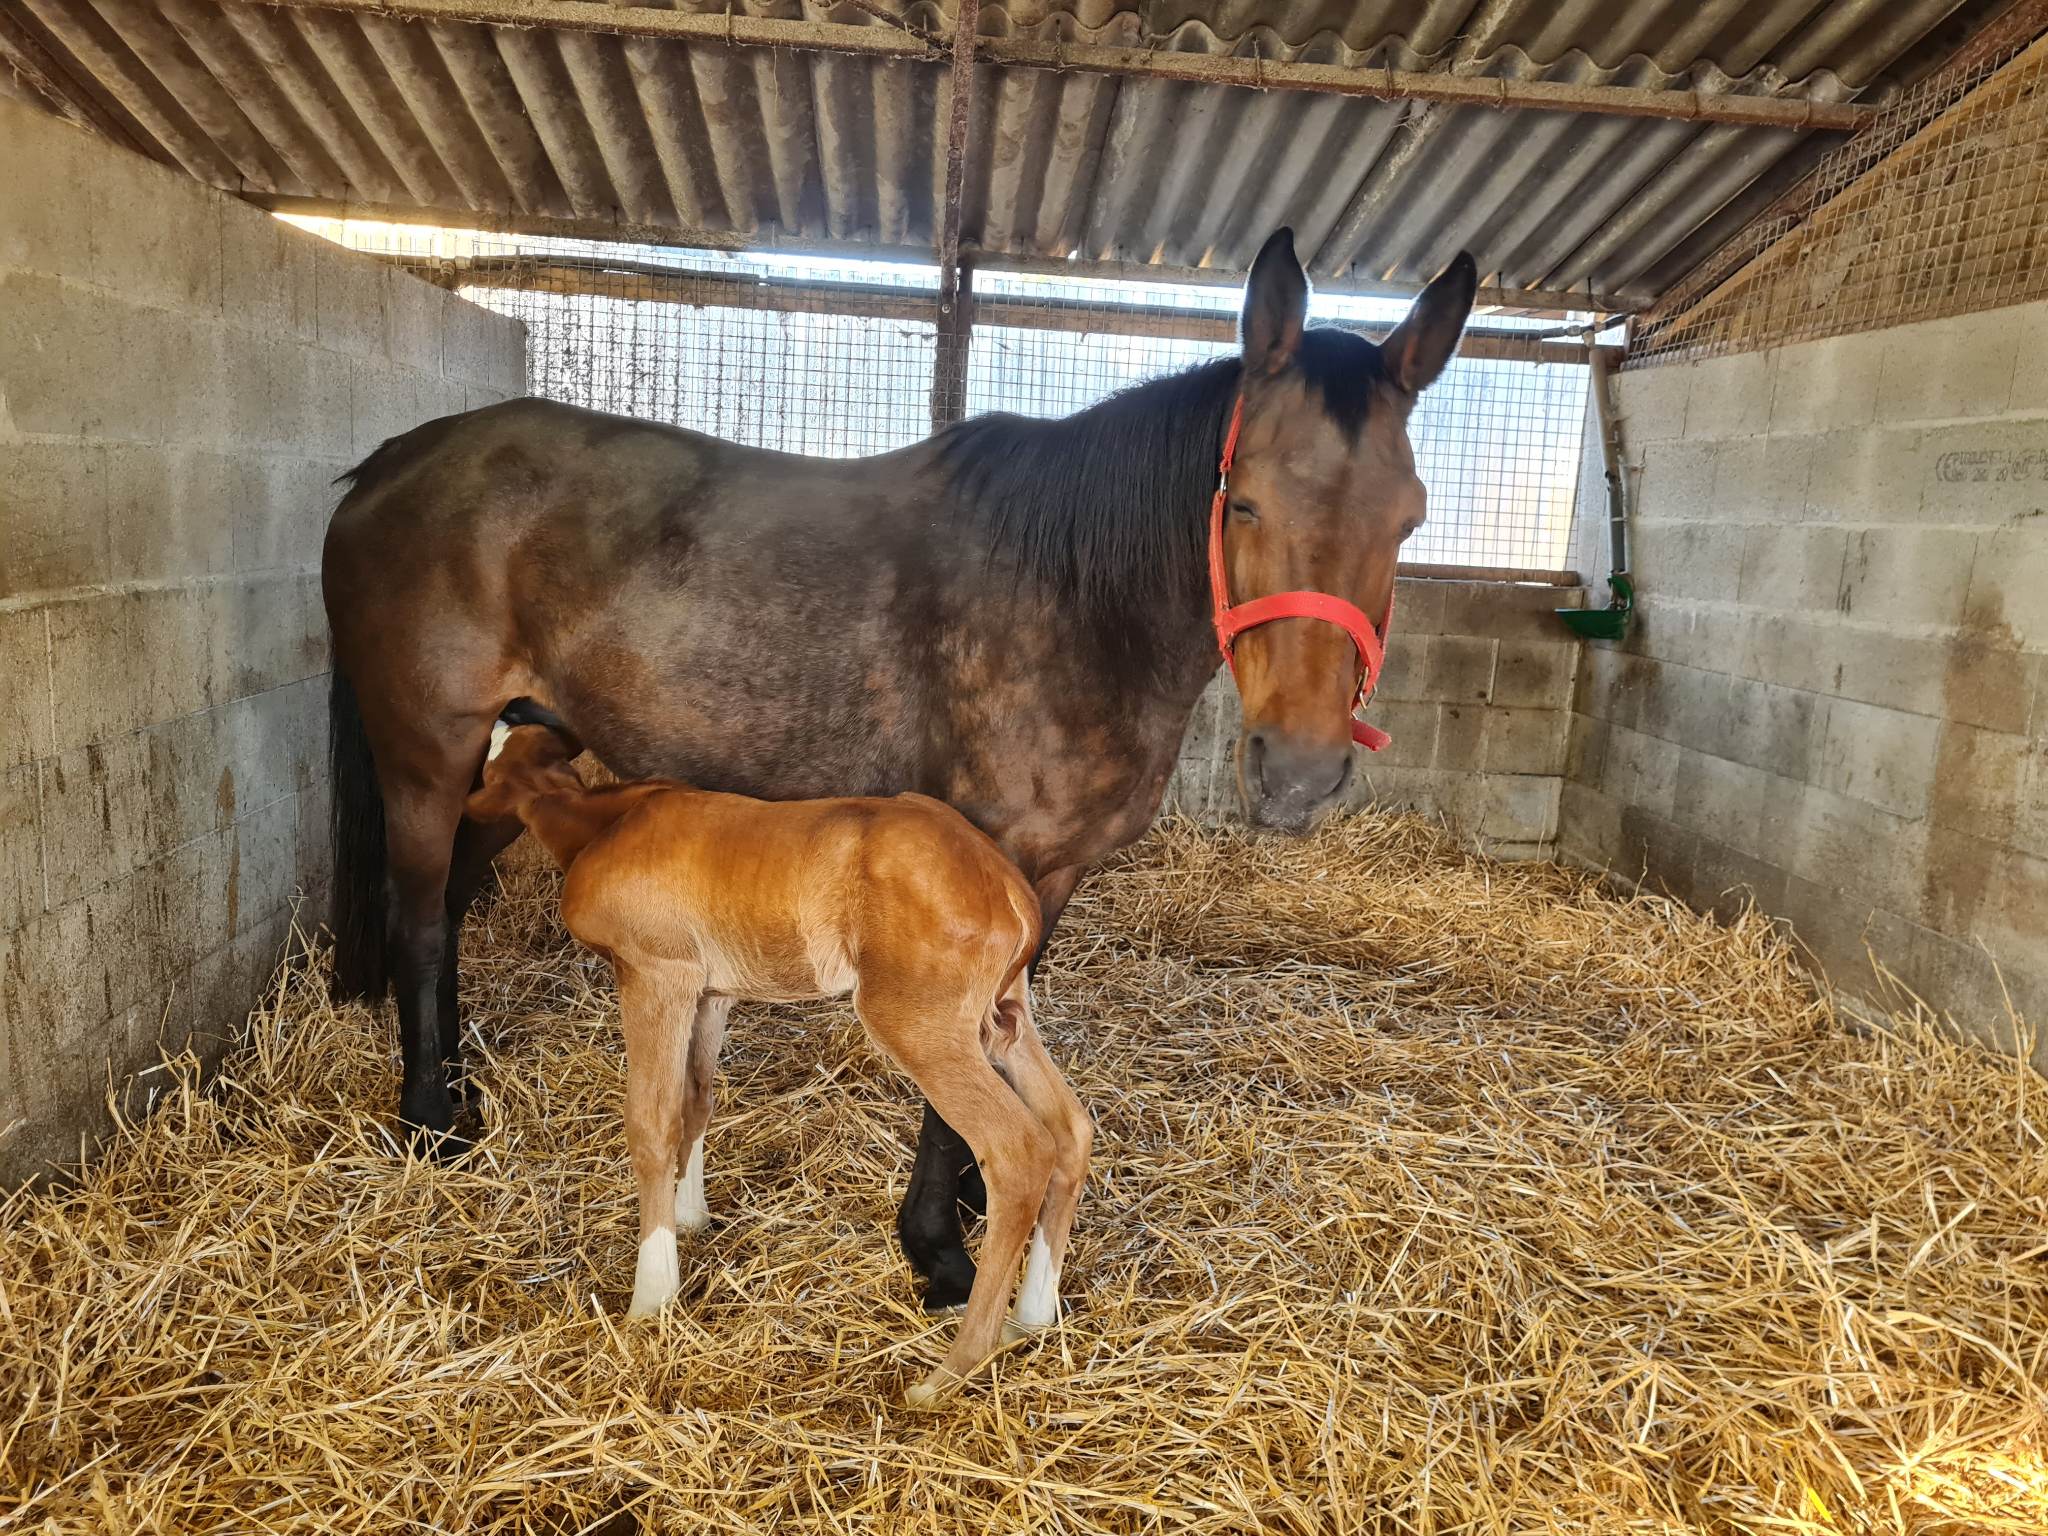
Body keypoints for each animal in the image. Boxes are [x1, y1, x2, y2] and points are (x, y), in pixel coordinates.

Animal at [471, 729, 1097, 1400]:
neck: (604, 821)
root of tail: (1006, 885)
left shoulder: (655, 974)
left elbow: (652, 1123)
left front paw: (652, 1294)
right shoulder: (710, 991)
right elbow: (696, 1101)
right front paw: (691, 1218)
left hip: (921, 1023)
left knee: (1018, 1149)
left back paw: (949, 1372)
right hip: (1003, 1019)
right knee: (1071, 1128)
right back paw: (1031, 1317)